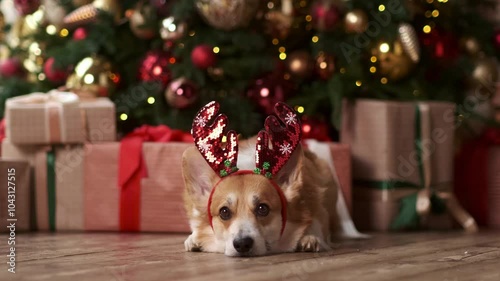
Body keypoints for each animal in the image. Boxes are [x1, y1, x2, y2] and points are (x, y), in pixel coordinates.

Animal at [182, 101, 338, 256]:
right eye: (224, 212)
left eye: (263, 208)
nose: (242, 244)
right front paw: (193, 238)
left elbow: (316, 222)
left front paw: (310, 237)